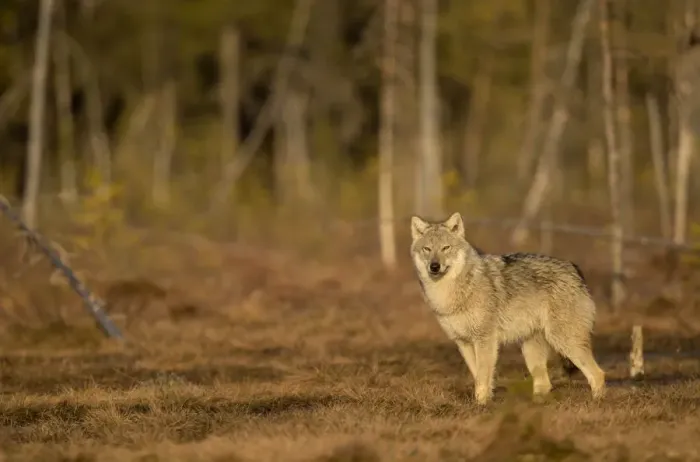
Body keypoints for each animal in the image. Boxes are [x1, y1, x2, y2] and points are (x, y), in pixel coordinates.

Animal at [410, 212, 606, 405]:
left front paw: (481, 406)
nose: (434, 266)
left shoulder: (485, 339)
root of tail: (573, 267)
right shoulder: (463, 342)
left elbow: (482, 376)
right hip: (531, 349)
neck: (452, 294)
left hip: (563, 340)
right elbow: (478, 374)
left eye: (446, 248)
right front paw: (485, 400)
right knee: (545, 383)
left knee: (598, 374)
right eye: (427, 249)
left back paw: (597, 403)